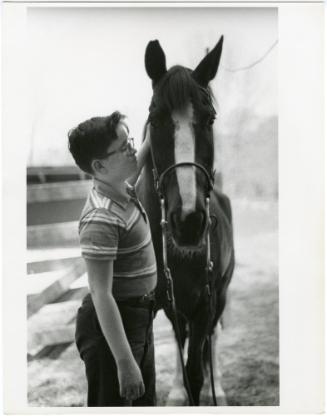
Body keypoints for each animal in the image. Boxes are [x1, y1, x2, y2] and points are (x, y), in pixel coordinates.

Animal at [138, 37, 236, 404]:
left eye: (210, 119)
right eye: (155, 118)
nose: (189, 220)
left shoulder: (206, 303)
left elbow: (197, 369)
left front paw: (206, 385)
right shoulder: (163, 304)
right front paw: (179, 390)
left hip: (221, 295)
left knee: (213, 338)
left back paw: (218, 386)